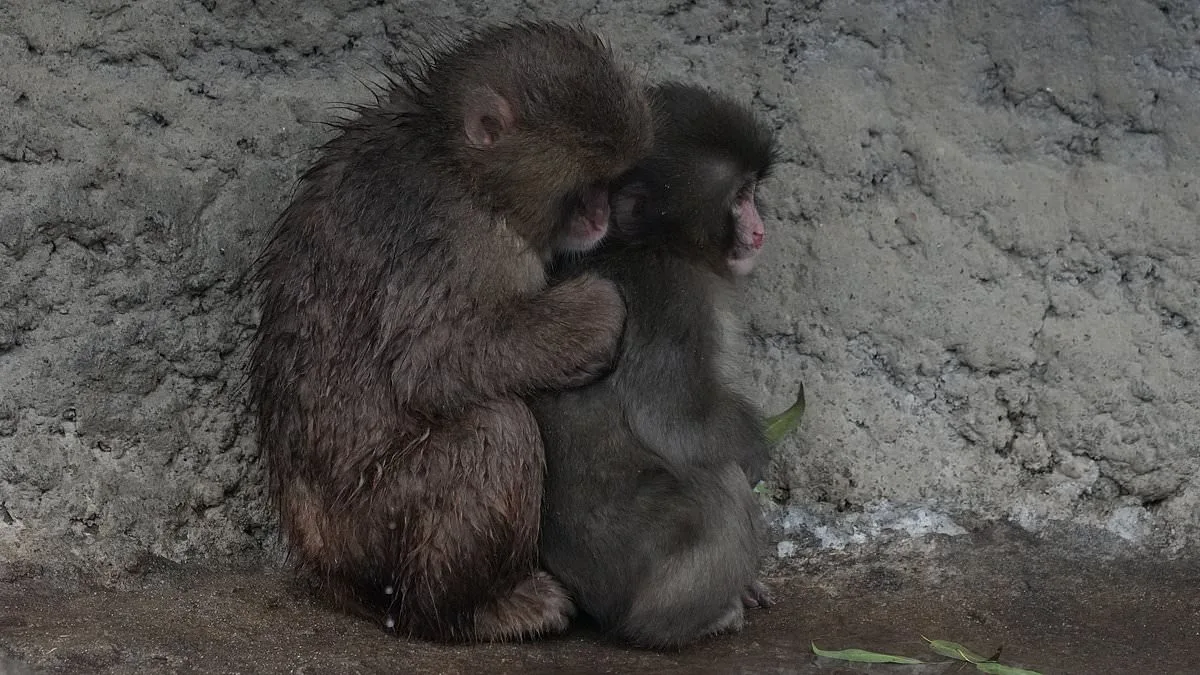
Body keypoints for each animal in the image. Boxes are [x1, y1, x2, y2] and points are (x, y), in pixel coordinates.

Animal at [247, 22, 653, 643]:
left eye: (610, 184)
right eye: (586, 186)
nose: (601, 217)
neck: (459, 165)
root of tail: (323, 561)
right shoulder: (464, 244)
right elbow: (432, 362)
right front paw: (594, 313)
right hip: (377, 524)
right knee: (497, 432)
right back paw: (468, 611)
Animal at [533, 82, 779, 650]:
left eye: (753, 190)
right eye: (739, 197)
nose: (759, 230)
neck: (655, 244)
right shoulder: (673, 299)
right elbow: (676, 420)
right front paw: (757, 451)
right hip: (626, 565)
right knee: (717, 487)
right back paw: (681, 622)